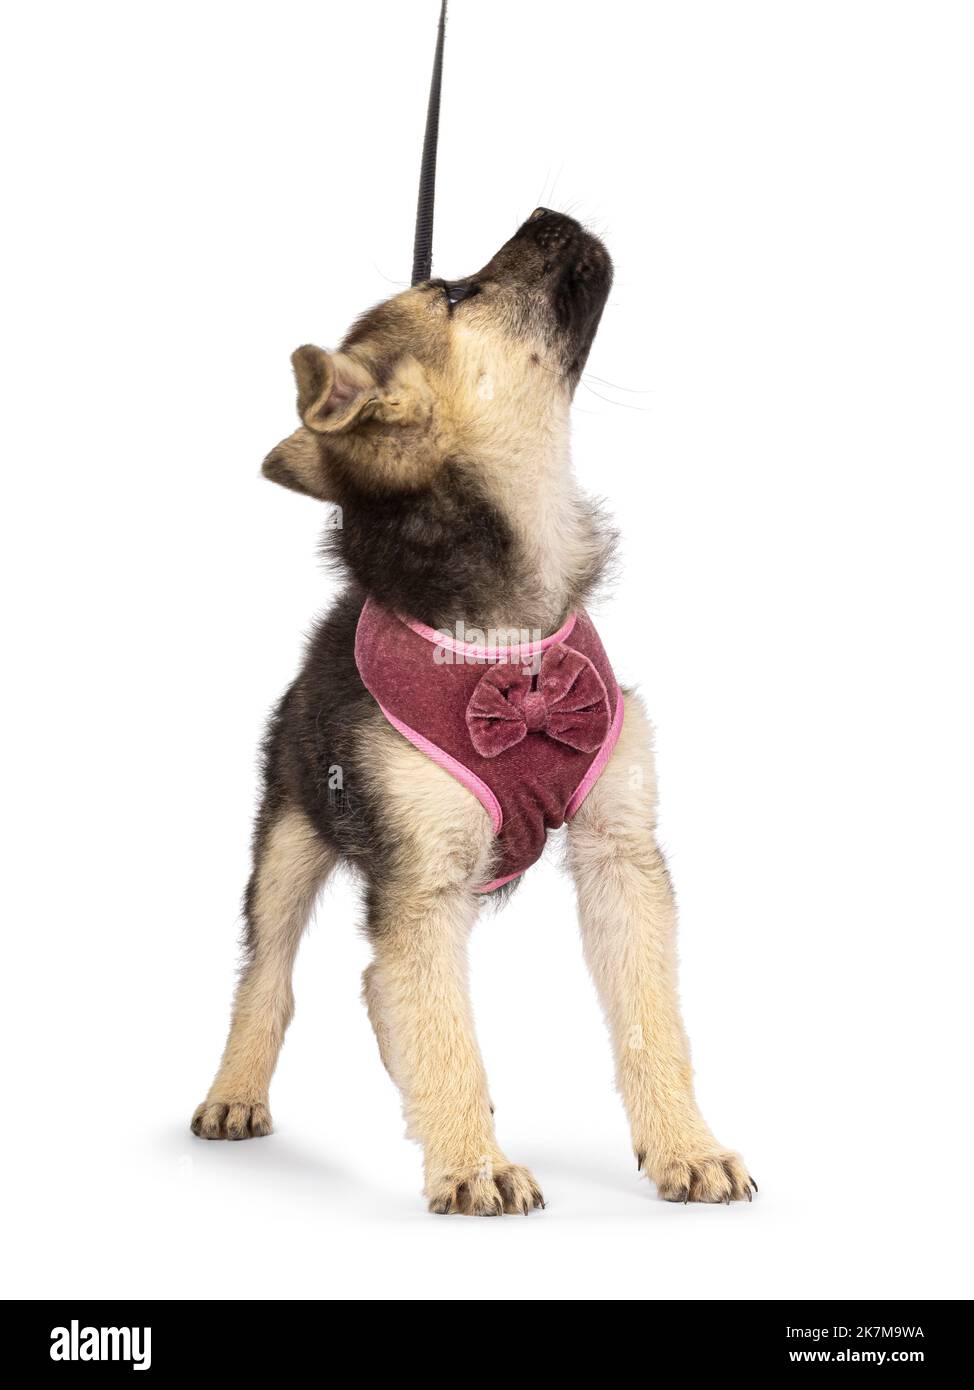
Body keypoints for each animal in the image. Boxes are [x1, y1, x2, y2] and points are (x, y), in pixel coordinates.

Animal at [190, 208, 750, 1217]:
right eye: (456, 293)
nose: (549, 217)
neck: (507, 641)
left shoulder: (620, 854)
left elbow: (650, 1019)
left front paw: (687, 1147)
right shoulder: (422, 879)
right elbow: (439, 1021)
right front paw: (472, 1164)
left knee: (384, 986)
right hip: (289, 832)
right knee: (272, 977)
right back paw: (236, 1092)